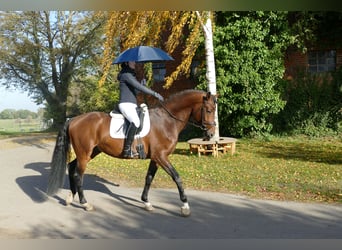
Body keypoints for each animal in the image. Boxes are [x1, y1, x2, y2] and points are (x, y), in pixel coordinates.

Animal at [46, 90, 216, 217]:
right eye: (208, 110)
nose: (211, 134)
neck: (167, 120)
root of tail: (73, 119)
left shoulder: (156, 158)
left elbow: (149, 178)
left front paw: (146, 202)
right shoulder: (161, 156)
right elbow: (177, 177)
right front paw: (185, 206)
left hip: (91, 152)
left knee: (71, 166)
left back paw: (70, 197)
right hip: (84, 153)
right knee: (78, 174)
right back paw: (85, 203)